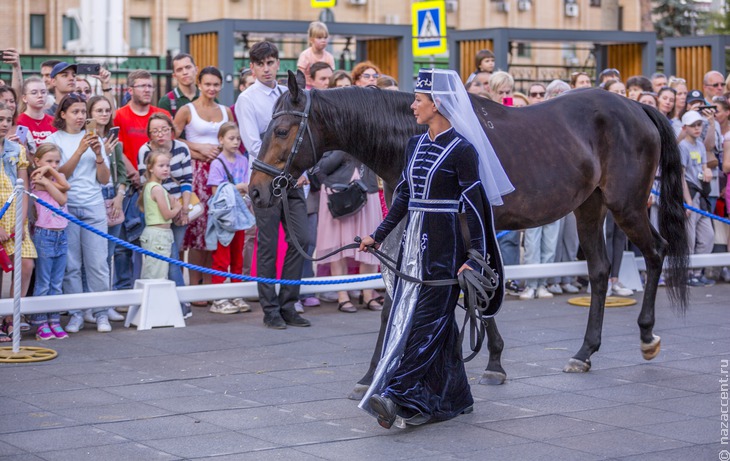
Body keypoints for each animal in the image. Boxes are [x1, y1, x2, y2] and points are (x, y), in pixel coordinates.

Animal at [247, 72, 684, 386]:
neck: (418, 135)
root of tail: (636, 106)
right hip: (589, 207)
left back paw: (646, 337)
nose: (255, 191)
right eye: (265, 128)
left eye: (282, 131)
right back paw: (584, 353)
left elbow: (473, 284)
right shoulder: (410, 228)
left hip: (626, 206)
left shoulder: (462, 227)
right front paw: (379, 371)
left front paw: (484, 361)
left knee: (655, 252)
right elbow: (421, 293)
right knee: (598, 270)